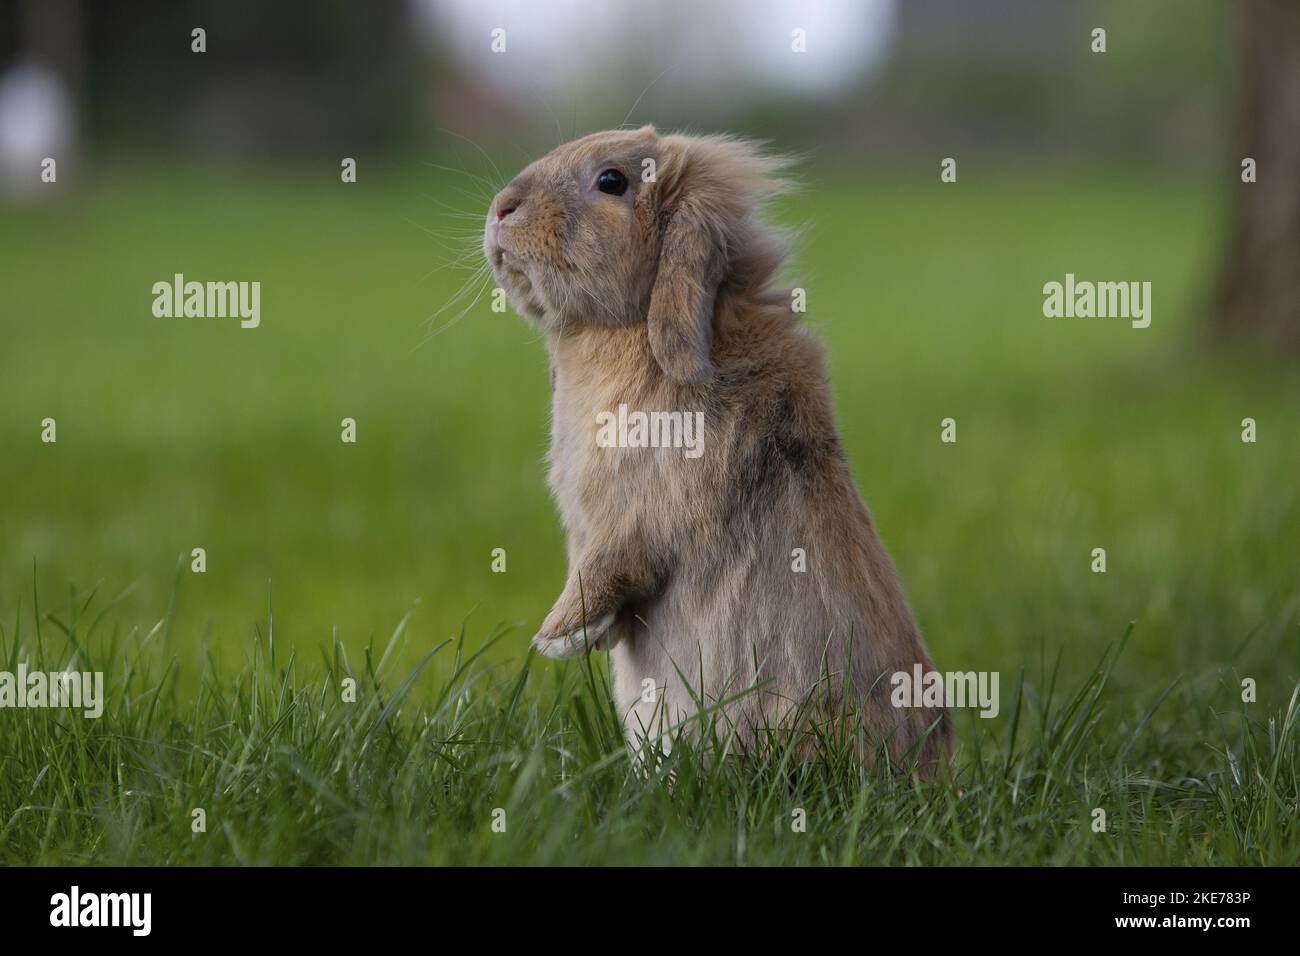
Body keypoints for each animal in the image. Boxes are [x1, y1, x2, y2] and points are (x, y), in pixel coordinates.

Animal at [482, 126, 950, 775]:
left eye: (611, 181)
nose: (503, 208)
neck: (619, 336)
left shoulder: (639, 515)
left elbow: (610, 566)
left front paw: (555, 638)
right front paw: (585, 637)